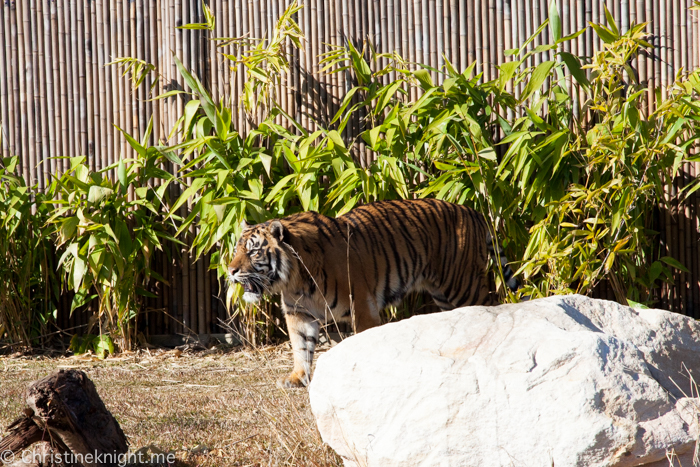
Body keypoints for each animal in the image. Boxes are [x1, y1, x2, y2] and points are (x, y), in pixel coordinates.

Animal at [227, 197, 516, 388]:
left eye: (253, 251)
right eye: (236, 250)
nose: (230, 271)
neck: (295, 279)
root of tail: (474, 212)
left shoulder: (363, 307)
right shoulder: (298, 312)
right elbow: (300, 345)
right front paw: (297, 378)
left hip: (463, 285)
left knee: (490, 306)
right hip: (446, 295)